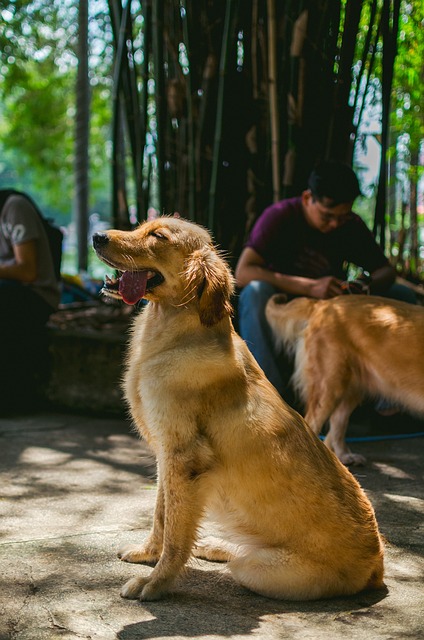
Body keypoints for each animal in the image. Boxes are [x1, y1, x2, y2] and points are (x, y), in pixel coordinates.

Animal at [93, 218, 384, 604]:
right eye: (142, 226)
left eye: (158, 236)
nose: (97, 236)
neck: (176, 332)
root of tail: (378, 565)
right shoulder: (165, 457)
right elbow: (161, 515)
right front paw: (148, 553)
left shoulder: (182, 458)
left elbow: (175, 533)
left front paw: (156, 582)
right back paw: (215, 545)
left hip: (255, 570)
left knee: (242, 560)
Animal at [266, 292, 424, 462]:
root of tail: (323, 304)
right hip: (329, 388)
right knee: (314, 425)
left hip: (350, 388)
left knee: (337, 424)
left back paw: (343, 456)